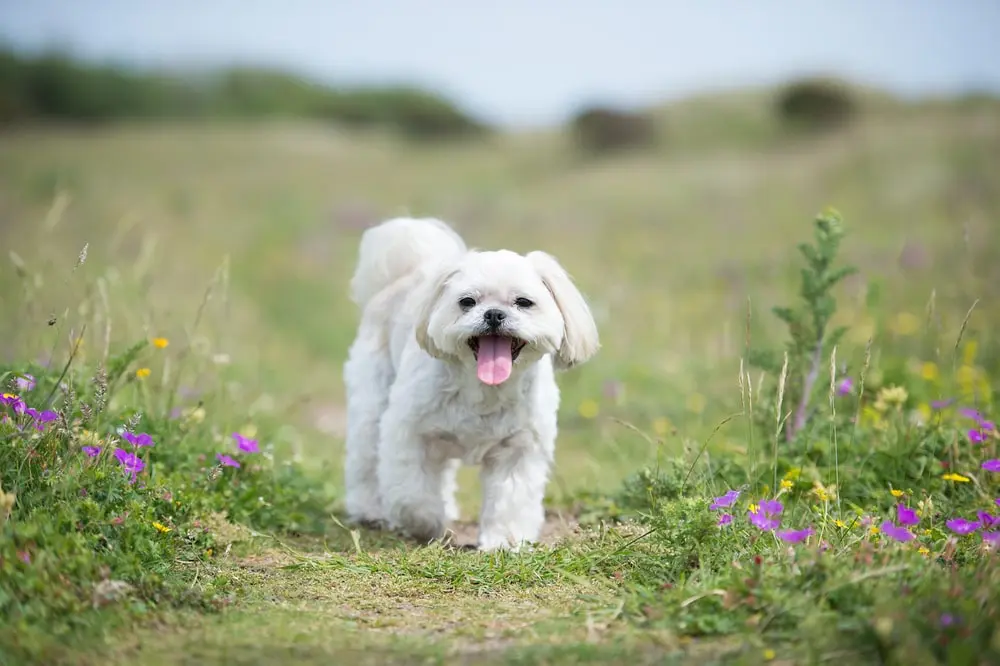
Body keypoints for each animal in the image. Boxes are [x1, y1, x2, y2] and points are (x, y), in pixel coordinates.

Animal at [340, 215, 596, 548]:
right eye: (467, 301)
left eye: (524, 302)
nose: (494, 314)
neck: (485, 390)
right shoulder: (408, 434)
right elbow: (412, 494)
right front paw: (426, 524)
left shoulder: (519, 449)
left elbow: (510, 501)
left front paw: (504, 543)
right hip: (372, 403)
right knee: (366, 459)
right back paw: (370, 511)